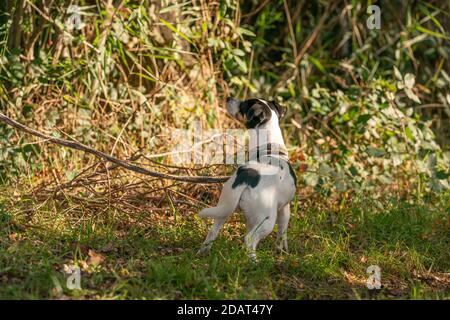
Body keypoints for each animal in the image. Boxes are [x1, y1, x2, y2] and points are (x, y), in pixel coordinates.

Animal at [198, 97, 298, 260]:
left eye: (244, 104)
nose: (228, 98)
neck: (269, 147)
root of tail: (246, 177)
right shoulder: (285, 208)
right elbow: (282, 233)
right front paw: (282, 252)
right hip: (267, 219)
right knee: (250, 240)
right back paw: (254, 261)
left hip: (224, 208)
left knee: (213, 231)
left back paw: (203, 253)